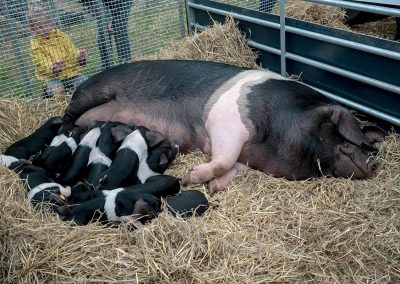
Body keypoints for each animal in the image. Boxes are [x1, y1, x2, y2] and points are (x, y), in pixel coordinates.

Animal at [64, 60, 386, 195]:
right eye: (349, 134)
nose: (375, 163)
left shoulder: (249, 158)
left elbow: (235, 167)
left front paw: (214, 187)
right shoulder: (225, 121)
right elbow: (223, 158)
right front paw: (192, 177)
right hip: (90, 93)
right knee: (68, 117)